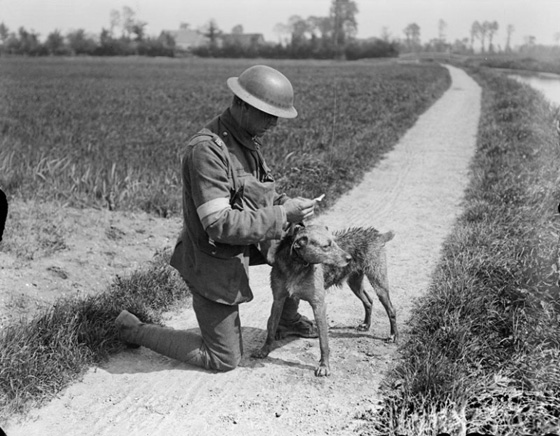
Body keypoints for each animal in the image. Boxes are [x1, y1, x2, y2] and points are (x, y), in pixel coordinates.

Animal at [252, 223, 396, 376]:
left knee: (391, 309)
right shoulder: (278, 300)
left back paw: (393, 335)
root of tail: (377, 235)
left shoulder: (318, 305)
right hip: (355, 282)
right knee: (368, 301)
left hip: (379, 282)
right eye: (326, 246)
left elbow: (323, 342)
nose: (350, 258)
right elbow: (271, 328)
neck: (296, 266)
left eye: (335, 242)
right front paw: (264, 350)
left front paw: (324, 366)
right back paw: (366, 324)